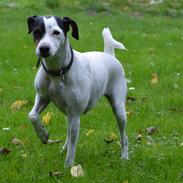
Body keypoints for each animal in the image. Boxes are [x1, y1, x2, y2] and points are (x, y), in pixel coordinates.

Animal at [27, 15, 128, 167]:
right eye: (36, 31)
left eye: (56, 32)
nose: (43, 48)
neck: (58, 73)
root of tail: (108, 54)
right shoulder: (42, 97)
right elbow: (32, 115)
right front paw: (43, 135)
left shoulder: (75, 114)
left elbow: (74, 141)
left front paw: (68, 165)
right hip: (68, 113)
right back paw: (63, 148)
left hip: (119, 109)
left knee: (123, 135)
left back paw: (125, 156)